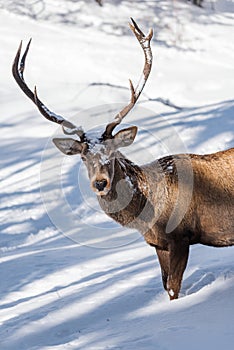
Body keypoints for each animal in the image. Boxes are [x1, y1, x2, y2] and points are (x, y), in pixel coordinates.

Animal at [12, 19, 234, 300]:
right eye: (83, 156)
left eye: (113, 153)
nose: (100, 183)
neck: (148, 215)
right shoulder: (158, 244)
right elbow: (165, 285)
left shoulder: (180, 236)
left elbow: (173, 289)